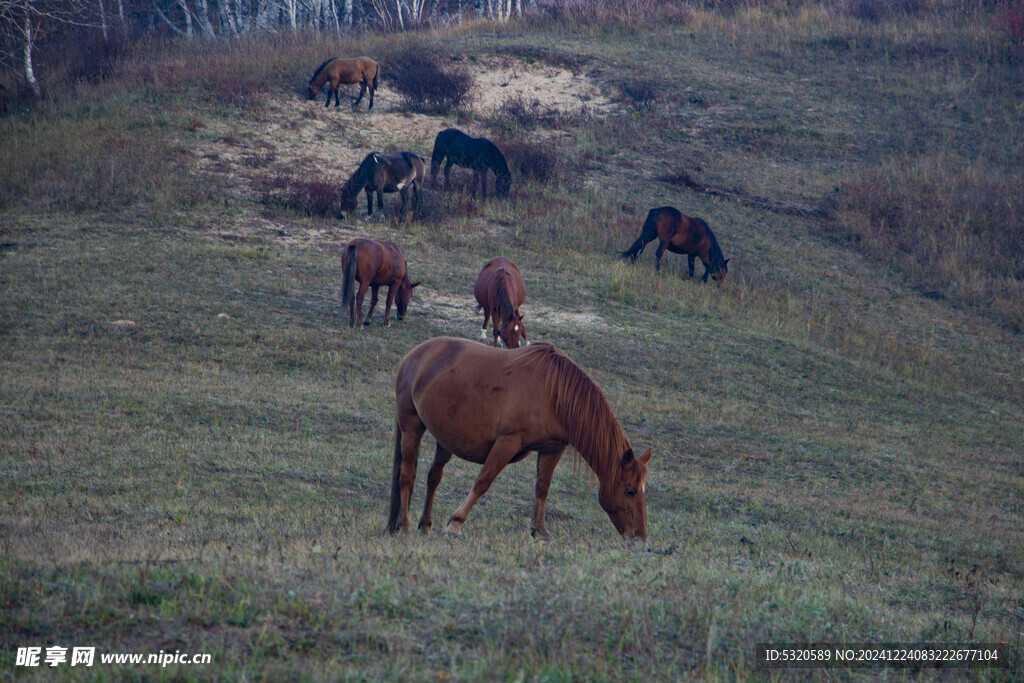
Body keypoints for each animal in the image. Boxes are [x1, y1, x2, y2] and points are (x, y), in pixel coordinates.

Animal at [387, 335, 651, 540]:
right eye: (629, 491)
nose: (639, 537)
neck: (554, 393)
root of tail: (414, 355)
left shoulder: (552, 448)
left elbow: (542, 487)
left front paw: (540, 530)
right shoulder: (507, 442)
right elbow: (483, 482)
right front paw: (455, 523)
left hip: (445, 440)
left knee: (433, 478)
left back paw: (424, 526)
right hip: (411, 426)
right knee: (407, 476)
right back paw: (405, 525)